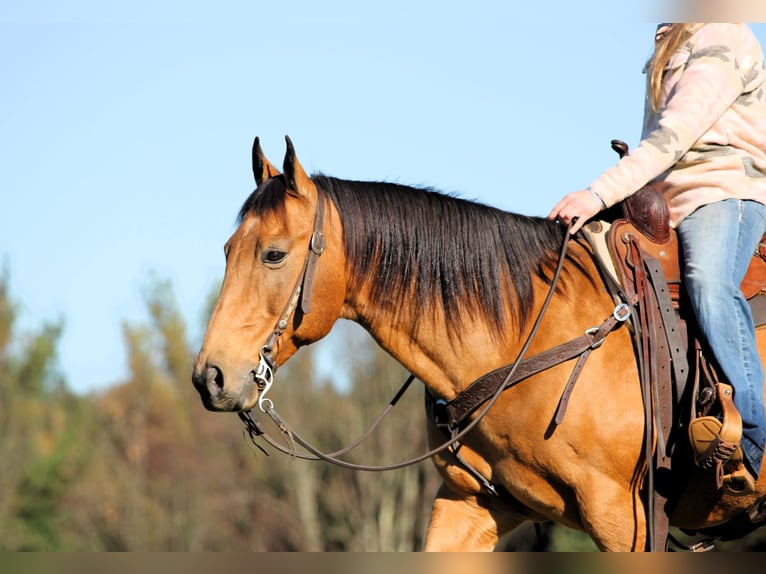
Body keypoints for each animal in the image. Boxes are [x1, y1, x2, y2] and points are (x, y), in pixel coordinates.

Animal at [192, 136, 766, 551]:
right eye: (226, 249)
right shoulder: (470, 503)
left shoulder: (625, 519)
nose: (209, 377)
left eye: (273, 254)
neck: (526, 337)